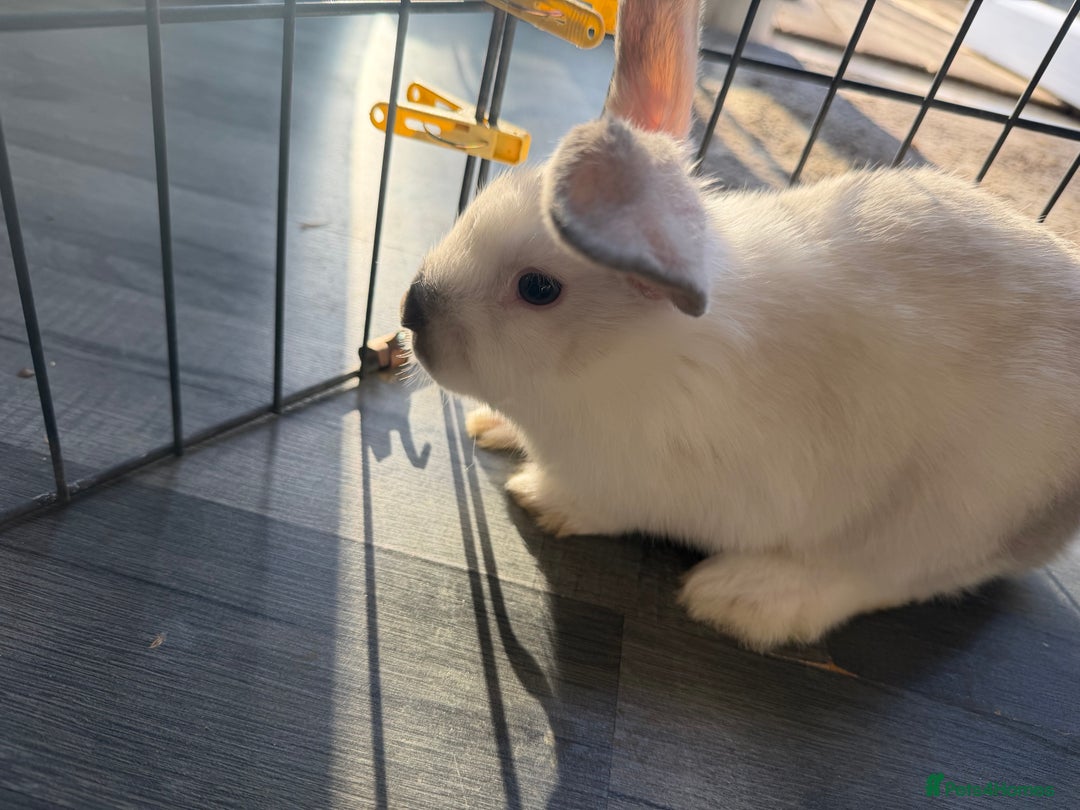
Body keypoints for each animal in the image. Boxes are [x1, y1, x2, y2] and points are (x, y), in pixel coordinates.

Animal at [400, 0, 1080, 650]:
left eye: (538, 289)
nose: (412, 309)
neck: (624, 355)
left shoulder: (623, 484)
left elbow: (590, 505)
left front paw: (537, 498)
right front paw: (490, 427)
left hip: (949, 510)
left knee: (887, 576)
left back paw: (742, 598)